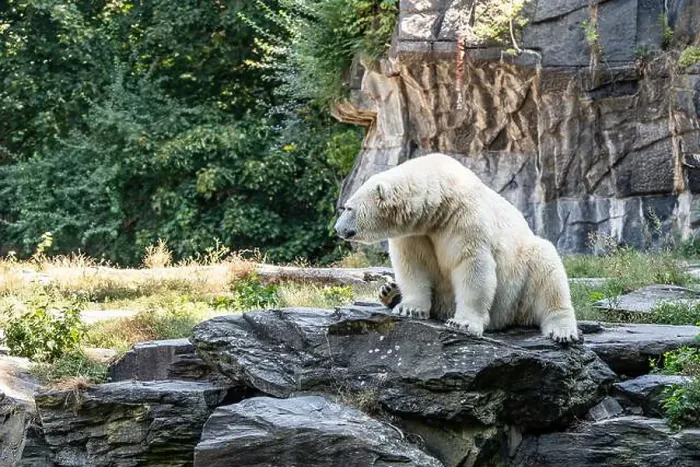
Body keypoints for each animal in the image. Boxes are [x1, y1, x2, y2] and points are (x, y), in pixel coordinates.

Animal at [334, 152, 579, 343]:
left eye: (348, 208)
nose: (337, 229)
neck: (439, 200)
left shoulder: (464, 220)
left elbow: (472, 266)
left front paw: (462, 323)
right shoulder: (414, 232)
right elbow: (412, 263)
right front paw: (410, 308)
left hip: (522, 273)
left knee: (548, 273)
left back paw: (562, 331)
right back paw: (390, 291)